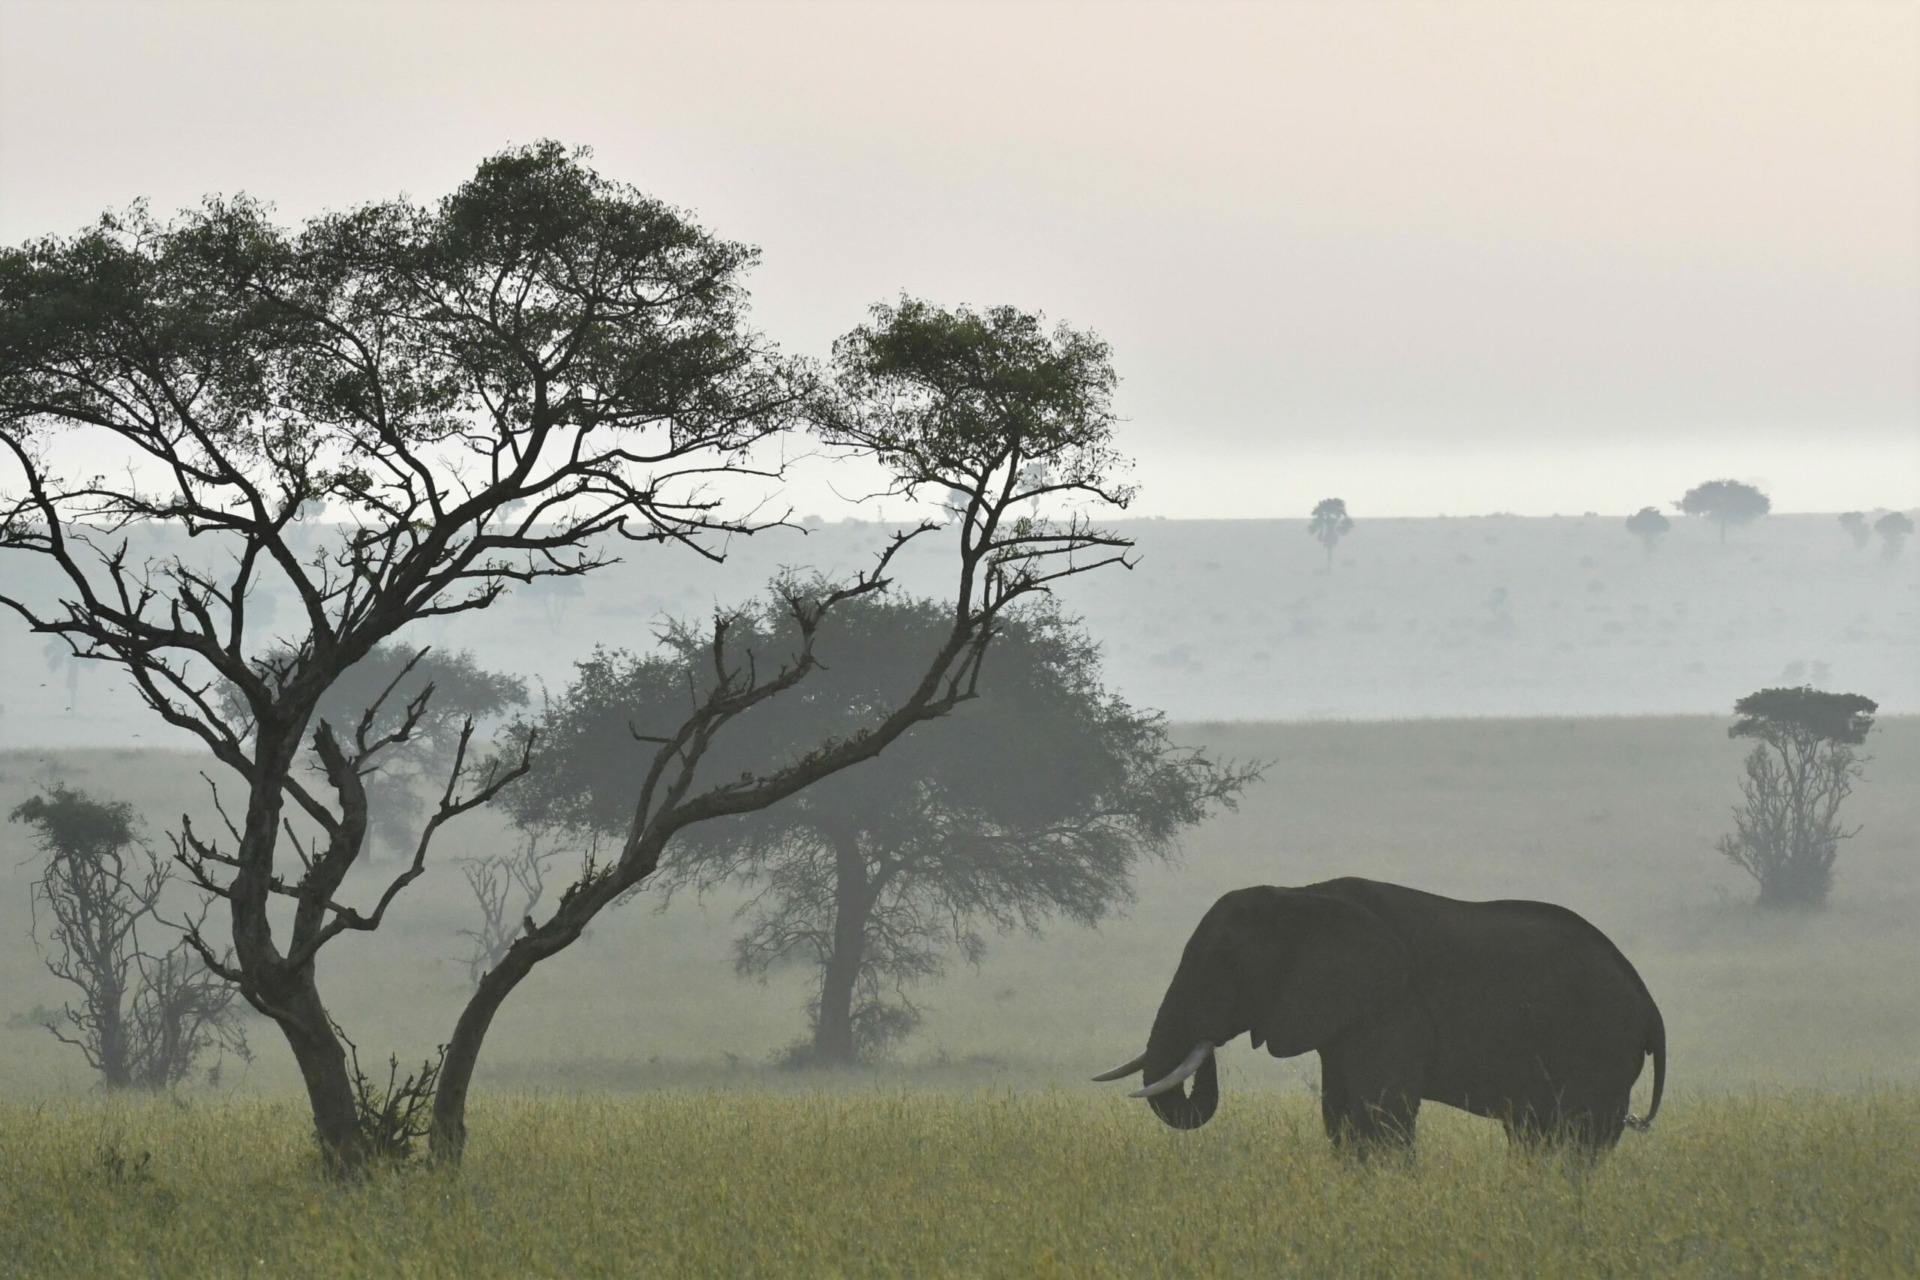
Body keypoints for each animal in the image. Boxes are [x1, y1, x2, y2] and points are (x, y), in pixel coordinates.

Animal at [1098, 875, 1666, 1159]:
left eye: (1229, 963)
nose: (1208, 1043)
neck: (1300, 896)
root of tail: (1650, 1006)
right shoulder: (1345, 1016)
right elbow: (1341, 1118)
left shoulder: (1393, 1006)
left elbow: (1382, 1117)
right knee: (1536, 1135)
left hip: (1603, 1047)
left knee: (1577, 1139)